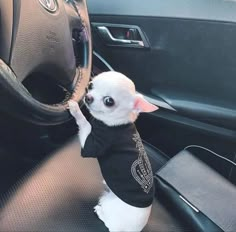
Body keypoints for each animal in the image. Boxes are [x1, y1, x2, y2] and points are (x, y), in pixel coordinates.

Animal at [69, 71, 159, 231]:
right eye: (90, 85)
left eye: (109, 101)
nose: (88, 96)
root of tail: (136, 230)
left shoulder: (94, 144)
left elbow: (85, 124)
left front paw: (75, 109)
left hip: (108, 204)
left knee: (108, 222)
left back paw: (100, 211)